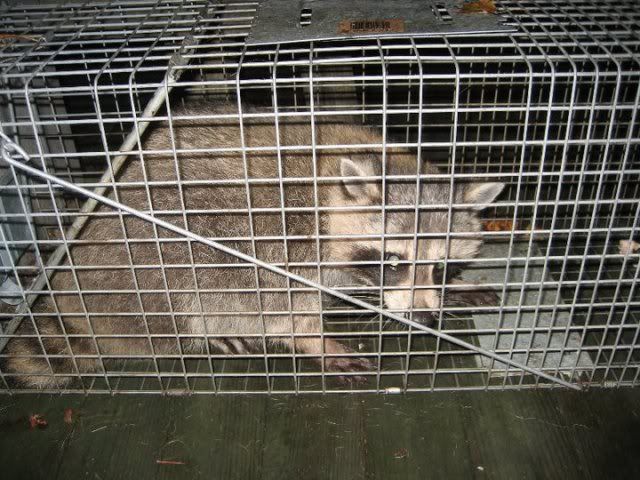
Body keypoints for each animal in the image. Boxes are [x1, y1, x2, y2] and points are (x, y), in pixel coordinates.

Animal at [2, 102, 503, 388]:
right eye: (394, 261)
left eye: (439, 267)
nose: (423, 318)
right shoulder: (286, 234)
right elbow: (278, 299)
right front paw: (311, 338)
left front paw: (452, 291)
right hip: (149, 258)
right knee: (194, 282)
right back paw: (203, 328)